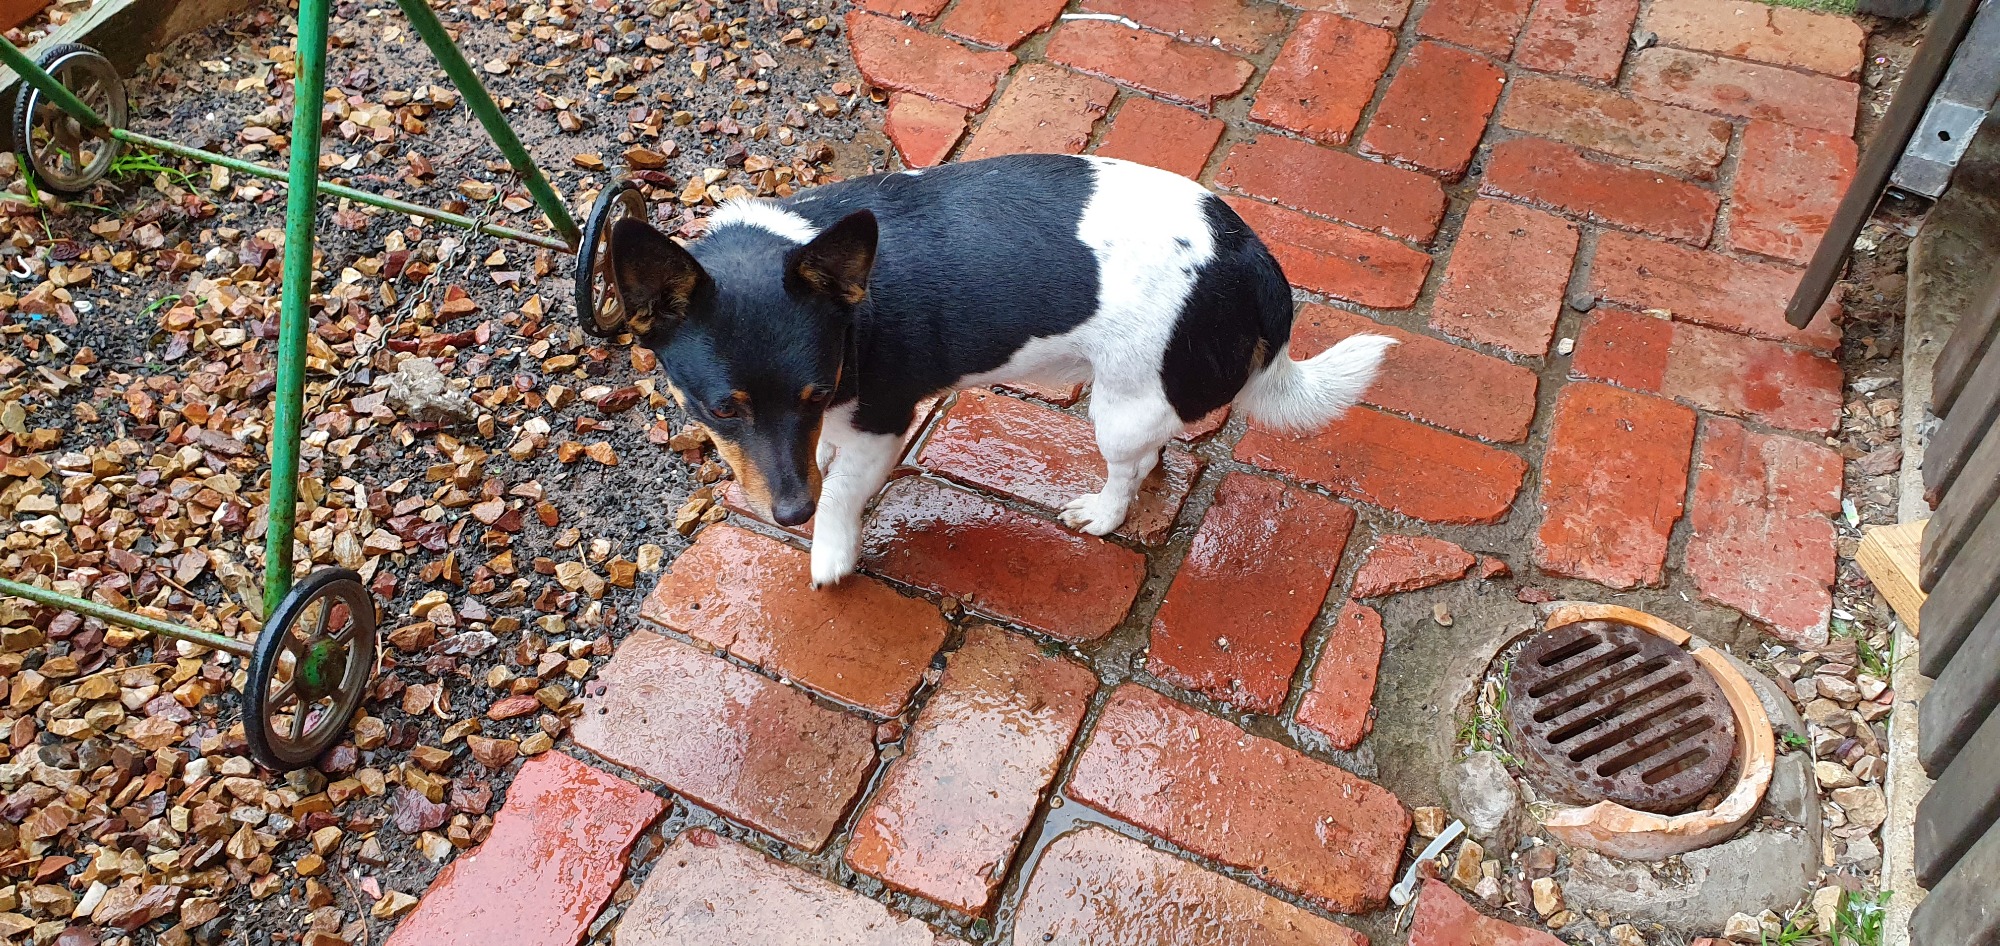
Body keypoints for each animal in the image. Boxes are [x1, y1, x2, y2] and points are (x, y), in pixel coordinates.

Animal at [606, 153, 1393, 587]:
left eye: (819, 388)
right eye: (721, 409)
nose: (788, 512)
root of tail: (1254, 263)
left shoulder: (881, 425)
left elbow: (841, 495)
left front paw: (830, 552)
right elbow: (821, 461)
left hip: (1121, 406)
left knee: (1129, 471)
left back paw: (1102, 512)